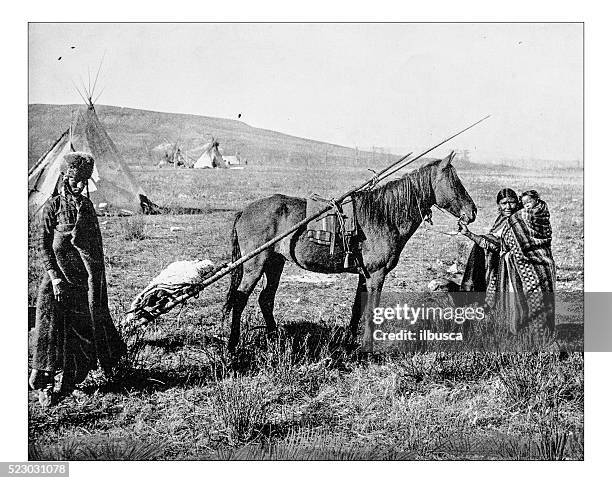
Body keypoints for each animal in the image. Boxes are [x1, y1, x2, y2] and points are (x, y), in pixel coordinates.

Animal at [222, 153, 476, 354]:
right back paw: (233, 346)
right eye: (455, 182)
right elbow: (372, 309)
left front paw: (349, 342)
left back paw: (275, 339)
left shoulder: (364, 275)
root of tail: (244, 211)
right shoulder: (376, 274)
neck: (384, 216)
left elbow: (357, 309)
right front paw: (368, 348)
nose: (472, 212)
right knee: (240, 299)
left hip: (275, 263)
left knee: (266, 299)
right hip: (255, 265)